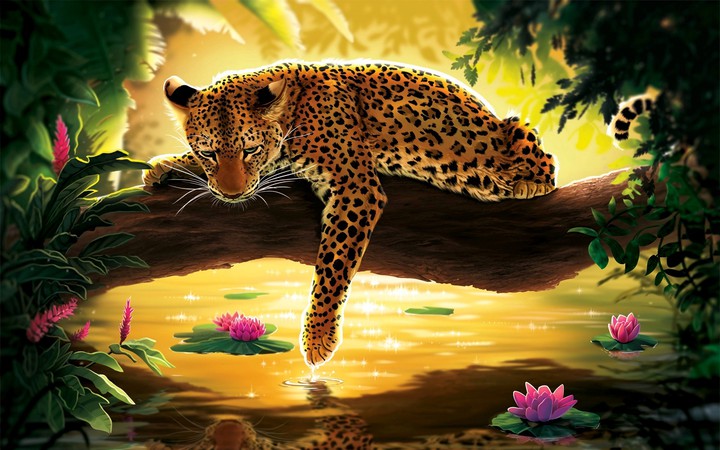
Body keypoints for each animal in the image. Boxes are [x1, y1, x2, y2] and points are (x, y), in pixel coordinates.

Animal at [143, 60, 558, 369]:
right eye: (209, 153)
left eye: (251, 150)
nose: (232, 193)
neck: (293, 114)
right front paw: (167, 165)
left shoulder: (354, 186)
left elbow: (333, 265)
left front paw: (317, 336)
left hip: (512, 139)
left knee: (544, 160)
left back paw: (529, 182)